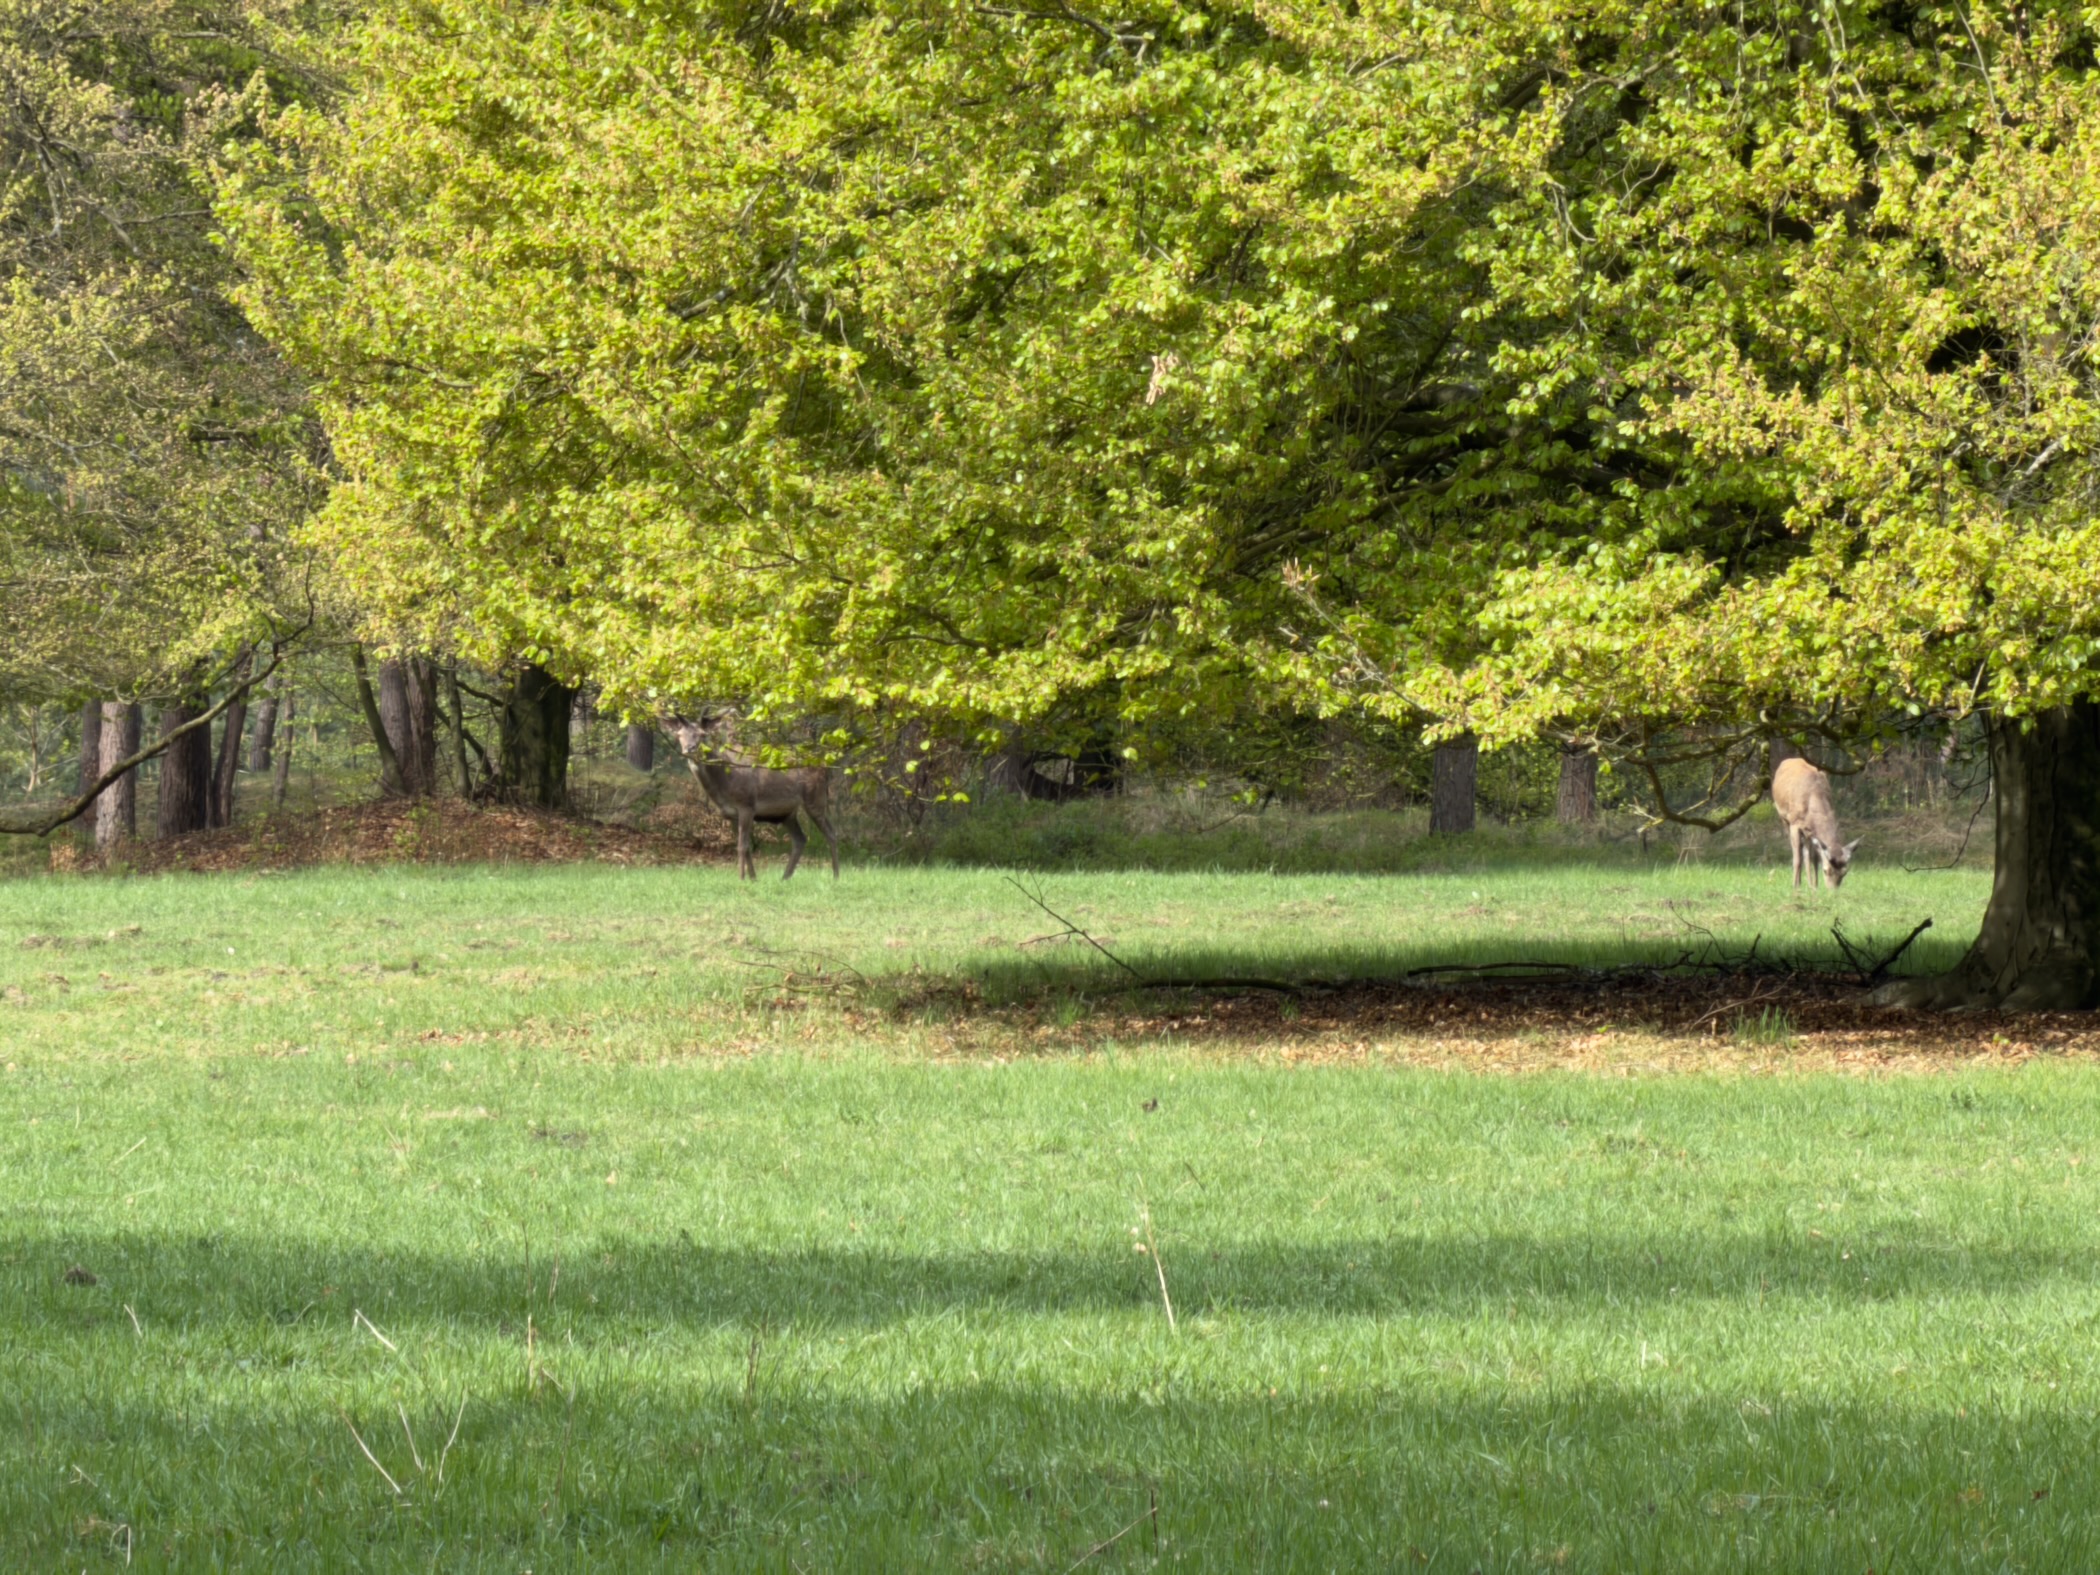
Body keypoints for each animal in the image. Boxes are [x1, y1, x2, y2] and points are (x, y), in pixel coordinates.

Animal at [666, 716, 839, 881]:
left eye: (702, 735)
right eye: (679, 735)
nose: (690, 748)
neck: (723, 785)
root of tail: (826, 770)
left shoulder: (746, 805)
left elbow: (742, 846)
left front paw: (742, 878)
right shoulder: (731, 814)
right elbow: (746, 846)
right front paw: (754, 878)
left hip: (815, 798)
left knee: (831, 833)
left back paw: (836, 876)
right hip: (787, 814)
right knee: (800, 839)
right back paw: (785, 877)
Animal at [1772, 756, 1859, 889]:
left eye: (1844, 873)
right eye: (1826, 870)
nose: (1833, 891)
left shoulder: (1812, 831)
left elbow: (1815, 858)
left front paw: (1815, 886)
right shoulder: (1794, 823)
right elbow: (1797, 859)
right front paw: (1794, 887)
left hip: (1808, 832)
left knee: (1807, 854)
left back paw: (1809, 884)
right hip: (1784, 818)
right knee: (1798, 852)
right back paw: (1799, 883)